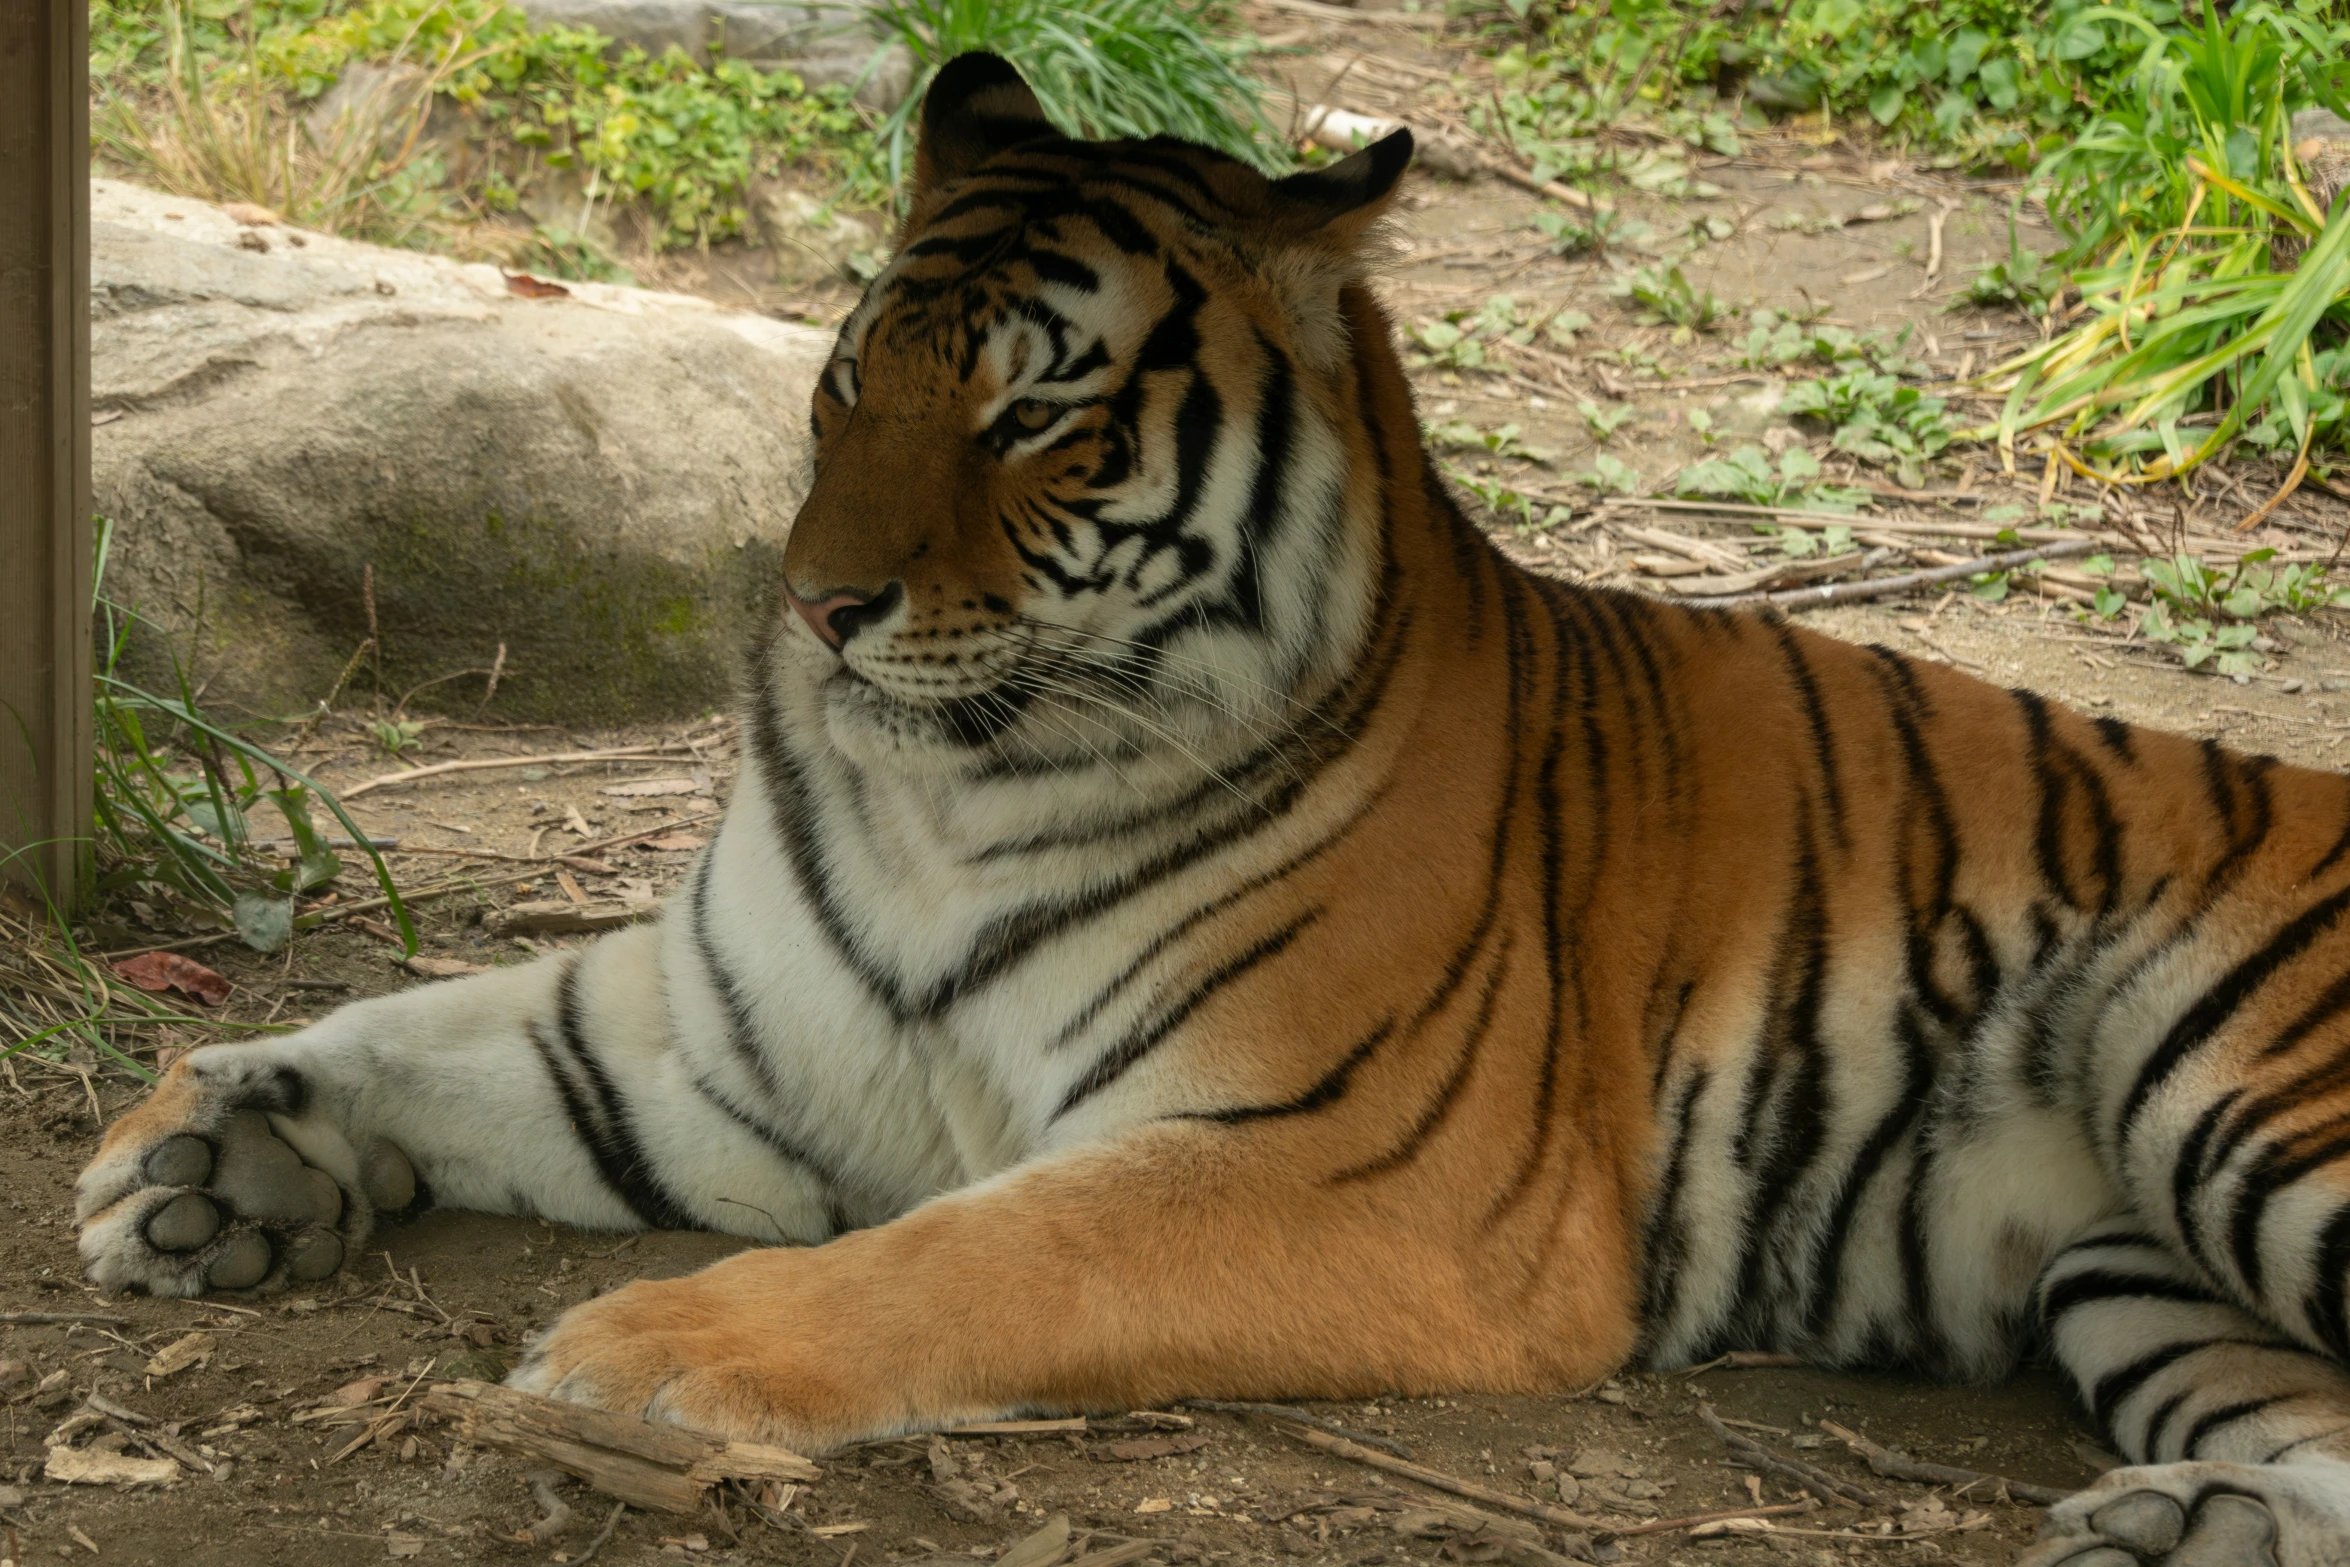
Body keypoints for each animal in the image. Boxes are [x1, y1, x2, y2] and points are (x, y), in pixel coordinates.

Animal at [68, 51, 2350, 1567]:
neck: (948, 797)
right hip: (2133, 1267)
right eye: (847, 381)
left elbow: (971, 1259)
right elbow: (458, 1025)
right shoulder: (724, 1053)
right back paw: (2174, 1529)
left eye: (1032, 415)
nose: (814, 606)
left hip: (2239, 1098)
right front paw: (208, 1151)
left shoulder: (1357, 1169)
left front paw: (631, 1355)